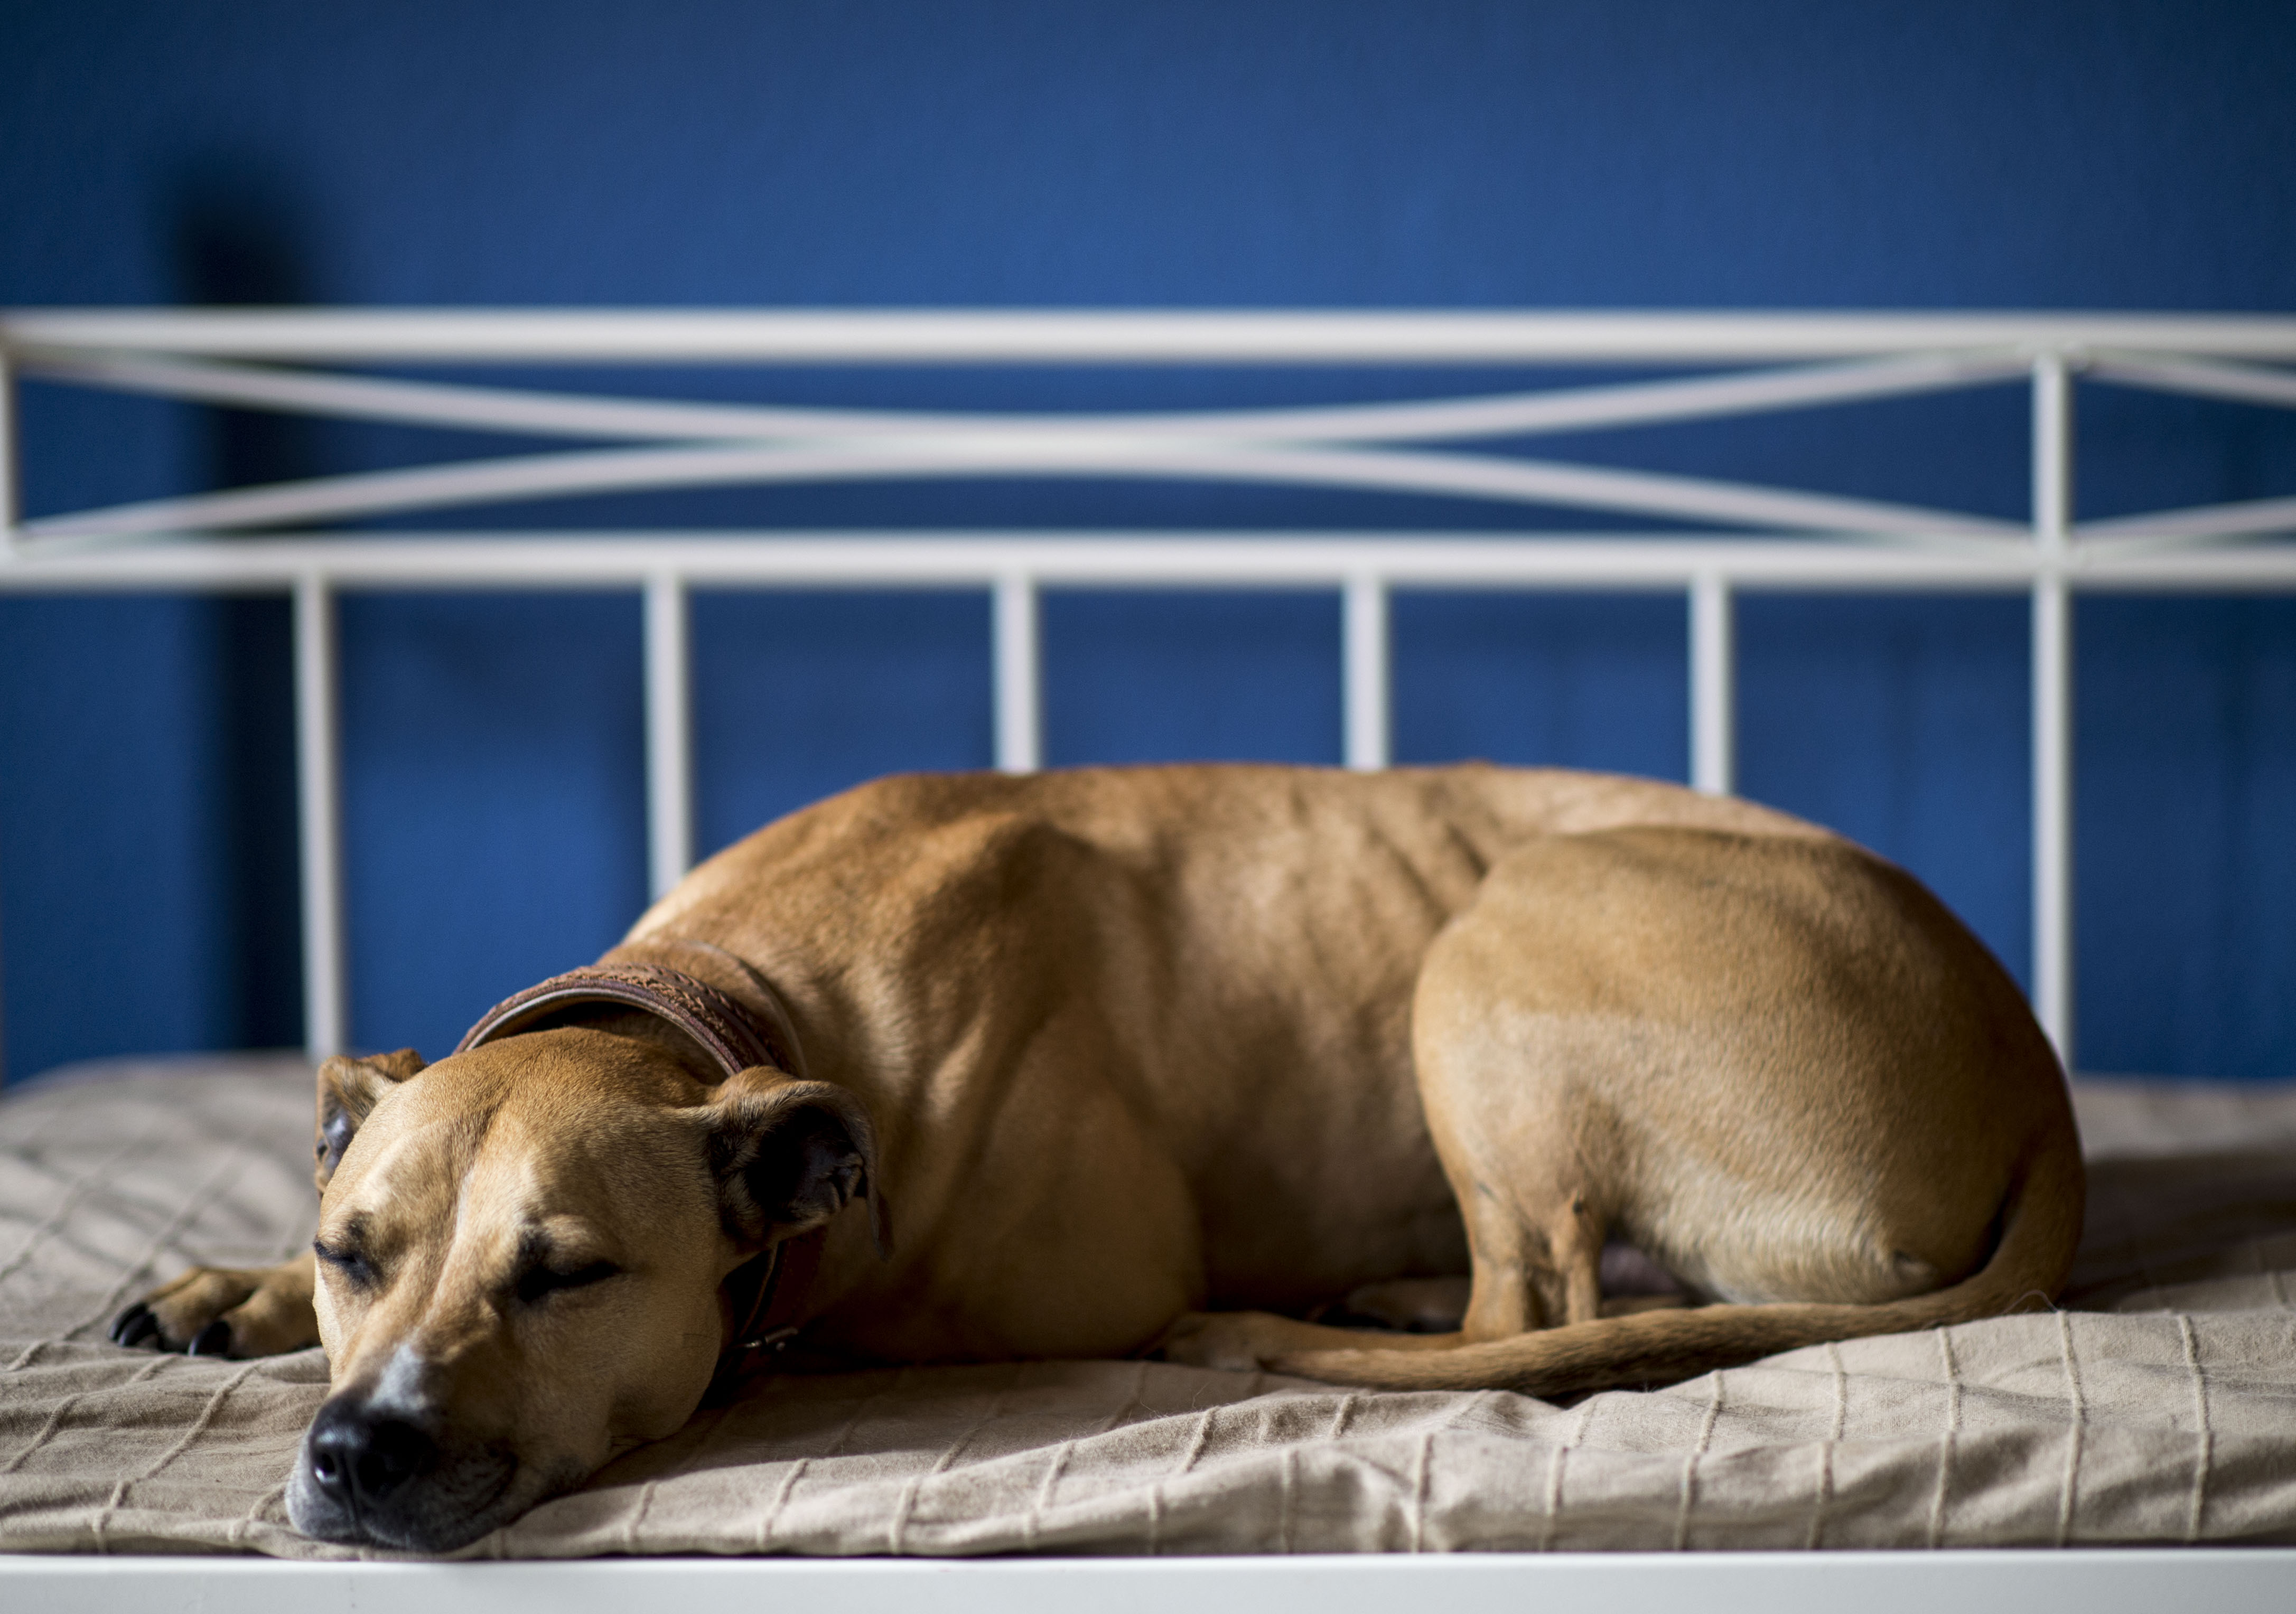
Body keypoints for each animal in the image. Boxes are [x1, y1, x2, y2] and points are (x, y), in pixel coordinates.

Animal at [108, 766, 2085, 1552]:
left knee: (1535, 1301)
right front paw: (235, 1283)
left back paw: (1329, 1310)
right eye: (354, 1248)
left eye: (570, 1272)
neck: (737, 994)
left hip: (1492, 932)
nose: (354, 1454)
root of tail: (2036, 1073)